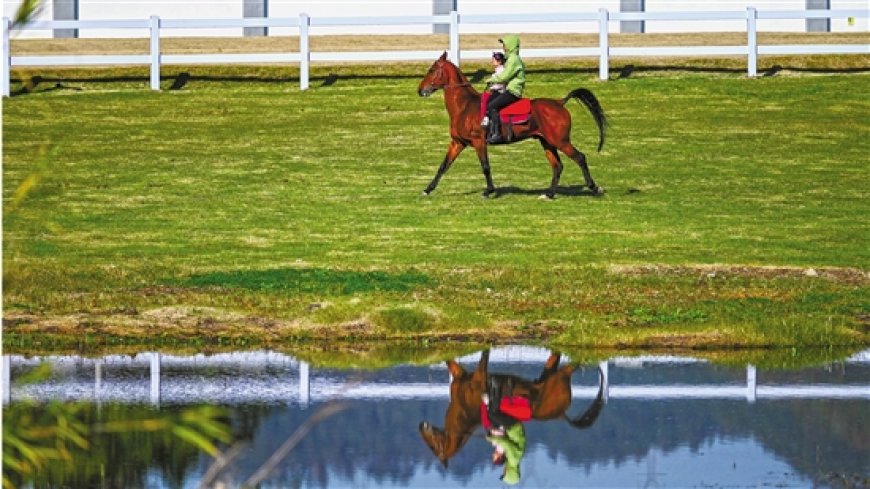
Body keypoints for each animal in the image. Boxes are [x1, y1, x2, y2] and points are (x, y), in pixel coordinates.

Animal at [418, 51, 608, 198]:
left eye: (432, 70)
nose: (420, 90)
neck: (465, 106)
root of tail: (559, 102)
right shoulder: (457, 143)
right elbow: (443, 166)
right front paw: (427, 189)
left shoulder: (479, 142)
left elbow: (485, 167)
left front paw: (489, 191)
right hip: (547, 142)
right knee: (557, 165)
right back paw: (549, 194)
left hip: (560, 141)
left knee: (580, 157)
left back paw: (594, 188)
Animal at [420, 348, 608, 468]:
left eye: (432, 447)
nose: (421, 425)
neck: (465, 411)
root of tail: (561, 414)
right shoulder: (459, 373)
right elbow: (450, 361)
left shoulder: (478, 375)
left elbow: (483, 358)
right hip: (549, 371)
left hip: (560, 375)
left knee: (574, 362)